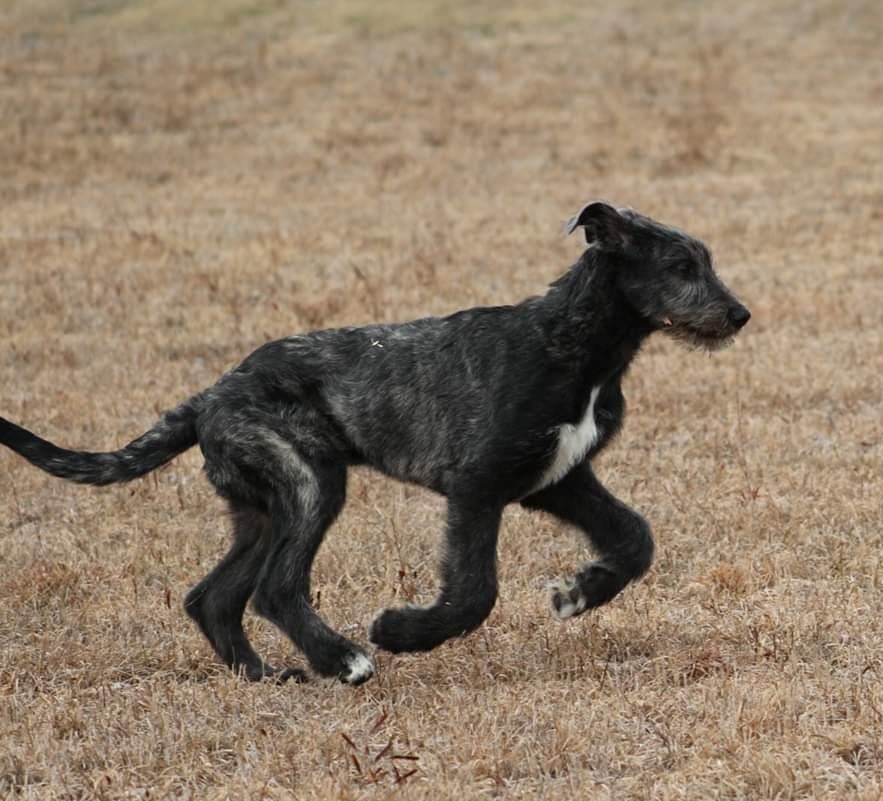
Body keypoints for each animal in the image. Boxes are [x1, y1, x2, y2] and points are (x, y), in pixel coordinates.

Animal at [0, 200, 752, 680]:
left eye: (706, 262)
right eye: (681, 267)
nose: (740, 314)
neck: (573, 343)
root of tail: (211, 394)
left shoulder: (559, 479)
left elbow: (634, 537)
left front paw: (581, 592)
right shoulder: (478, 486)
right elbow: (474, 590)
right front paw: (402, 631)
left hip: (262, 505)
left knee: (212, 597)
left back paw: (266, 676)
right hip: (310, 482)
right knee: (276, 589)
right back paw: (344, 660)